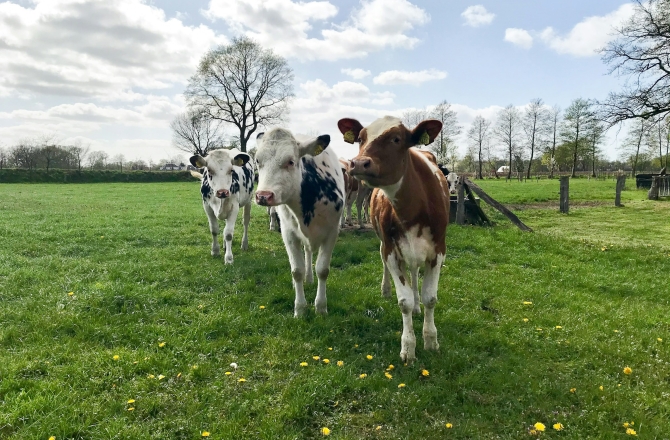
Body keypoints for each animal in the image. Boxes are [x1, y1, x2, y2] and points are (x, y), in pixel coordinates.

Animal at [254, 128, 345, 317]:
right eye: (257, 161)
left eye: (290, 161)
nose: (263, 196)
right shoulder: (288, 234)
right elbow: (297, 270)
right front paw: (300, 308)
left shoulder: (332, 232)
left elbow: (322, 270)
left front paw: (320, 307)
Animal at [338, 115, 450, 363]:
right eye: (361, 138)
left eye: (396, 139)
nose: (358, 163)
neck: (413, 208)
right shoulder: (391, 250)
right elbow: (404, 301)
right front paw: (408, 347)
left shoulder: (438, 250)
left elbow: (430, 297)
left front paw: (431, 340)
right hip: (385, 244)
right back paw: (387, 290)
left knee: (415, 273)